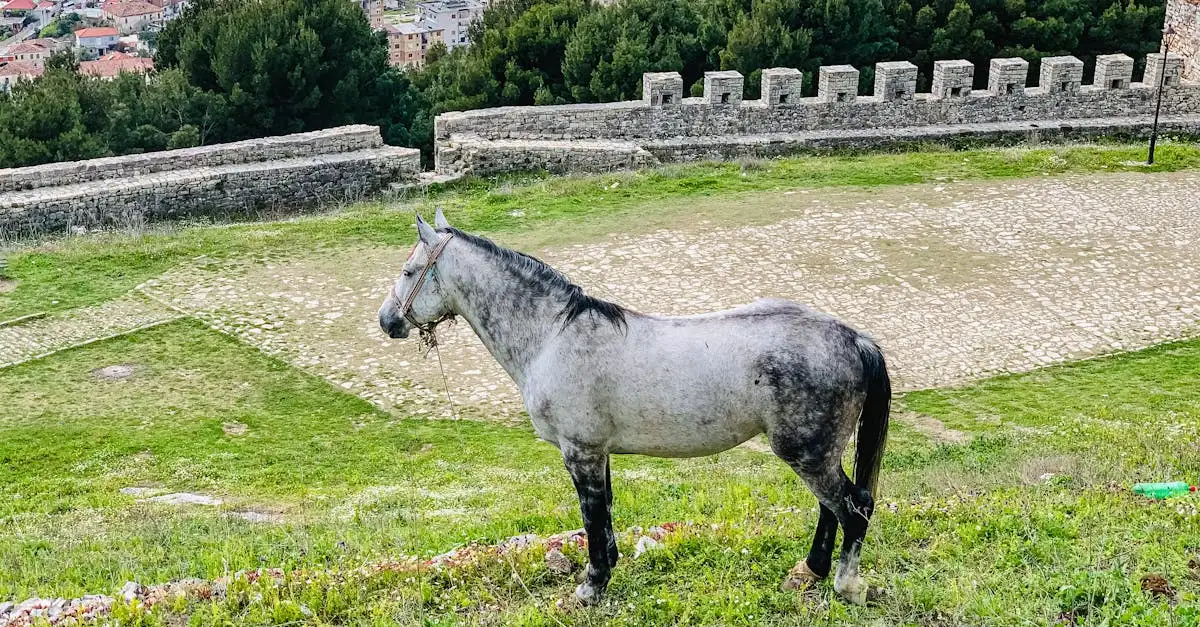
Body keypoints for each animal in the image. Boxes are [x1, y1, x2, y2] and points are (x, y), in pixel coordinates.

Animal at [378, 209, 891, 606]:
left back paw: (845, 586)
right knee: (831, 507)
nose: (386, 321)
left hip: (807, 454)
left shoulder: (581, 452)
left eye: (408, 271)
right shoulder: (598, 452)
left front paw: (590, 588)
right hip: (817, 453)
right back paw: (808, 572)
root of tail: (853, 339)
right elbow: (604, 515)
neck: (553, 336)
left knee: (854, 507)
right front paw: (605, 573)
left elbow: (592, 516)